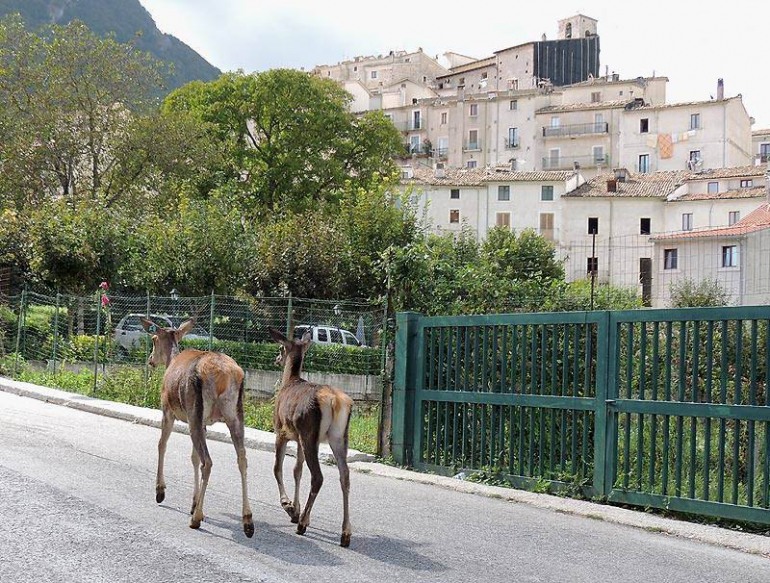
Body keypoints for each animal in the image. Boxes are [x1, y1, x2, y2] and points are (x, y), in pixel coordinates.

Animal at [141, 318, 255, 540]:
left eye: (154, 339)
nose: (150, 360)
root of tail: (224, 375)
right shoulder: (203, 423)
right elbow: (193, 457)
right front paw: (193, 503)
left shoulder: (168, 410)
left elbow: (162, 444)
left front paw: (160, 491)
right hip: (235, 415)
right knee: (242, 459)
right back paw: (247, 521)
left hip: (195, 411)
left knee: (208, 461)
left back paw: (196, 518)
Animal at [268, 328, 352, 548]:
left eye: (281, 348)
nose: (276, 359)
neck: (290, 380)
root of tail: (334, 400)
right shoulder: (298, 439)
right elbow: (297, 470)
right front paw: (295, 510)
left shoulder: (281, 431)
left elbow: (278, 468)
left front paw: (289, 506)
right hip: (338, 437)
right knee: (345, 475)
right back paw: (345, 534)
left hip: (309, 433)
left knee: (318, 476)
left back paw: (303, 524)